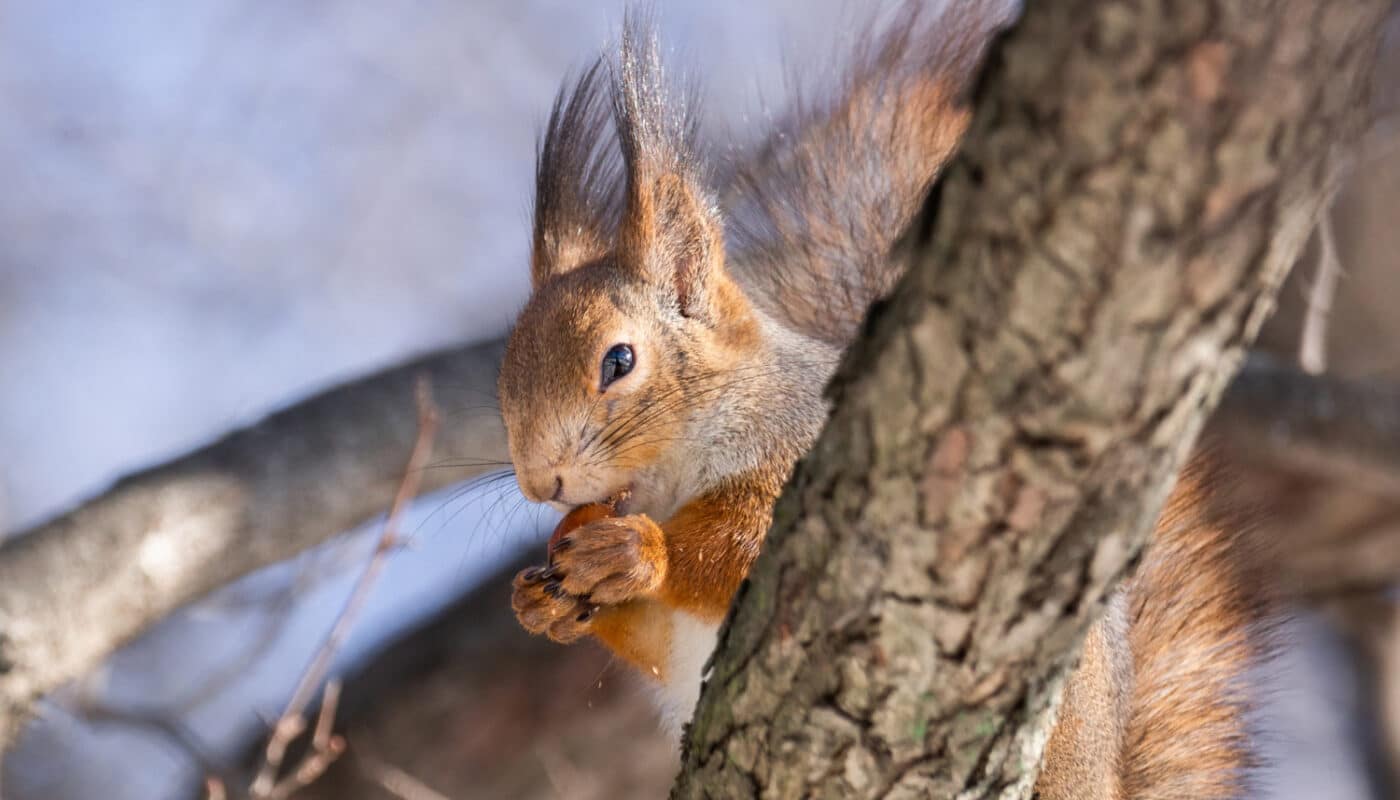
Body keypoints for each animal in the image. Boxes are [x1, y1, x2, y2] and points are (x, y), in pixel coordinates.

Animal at [498, 4, 1276, 795]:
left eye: (618, 361)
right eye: (506, 372)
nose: (541, 483)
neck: (675, 472)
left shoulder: (802, 447)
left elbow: (744, 546)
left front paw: (636, 552)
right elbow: (655, 637)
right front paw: (542, 600)